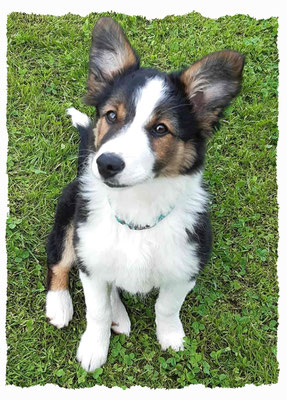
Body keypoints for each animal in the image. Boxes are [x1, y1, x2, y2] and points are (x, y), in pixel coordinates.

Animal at [45, 16, 245, 372]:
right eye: (111, 115)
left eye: (160, 129)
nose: (106, 164)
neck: (138, 207)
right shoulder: (89, 258)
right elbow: (96, 310)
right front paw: (93, 348)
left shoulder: (185, 267)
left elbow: (167, 307)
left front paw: (171, 338)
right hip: (71, 217)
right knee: (59, 260)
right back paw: (60, 305)